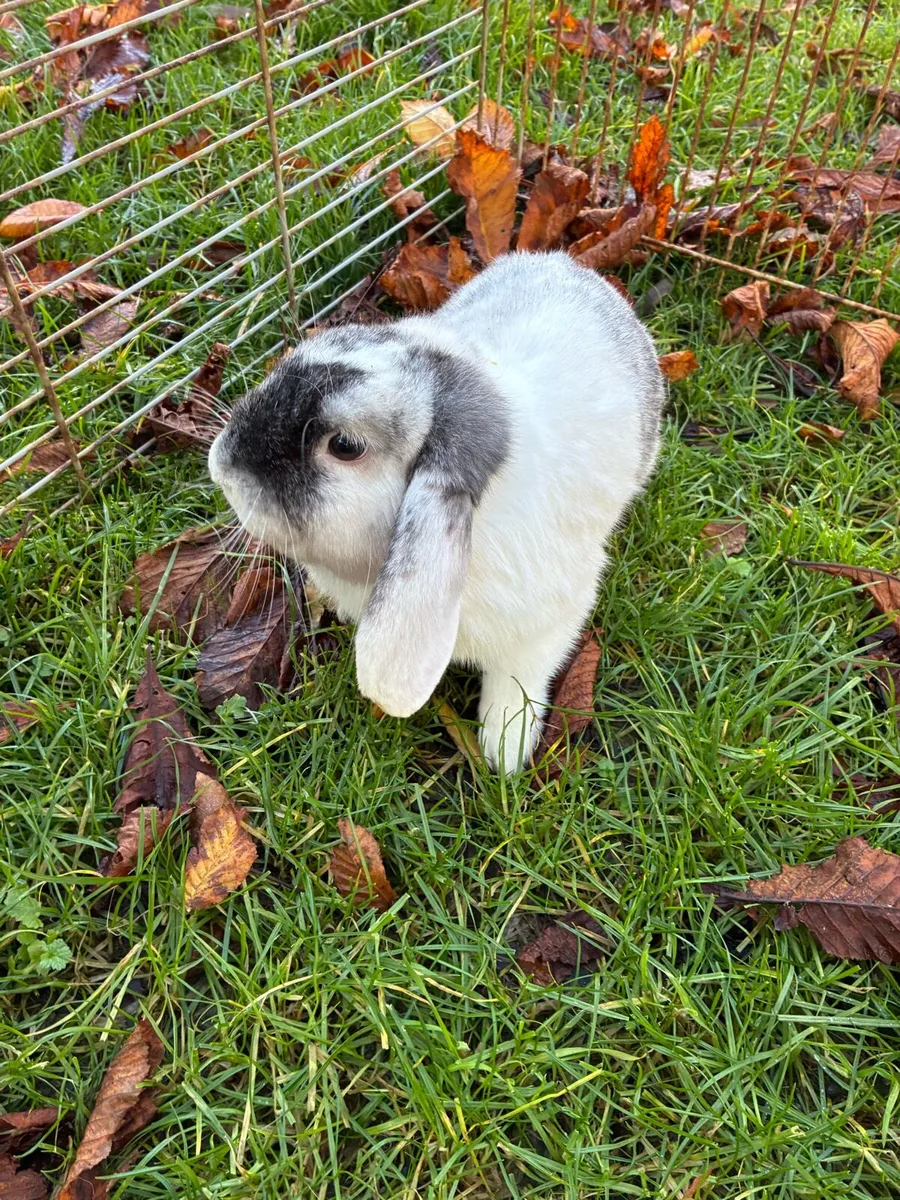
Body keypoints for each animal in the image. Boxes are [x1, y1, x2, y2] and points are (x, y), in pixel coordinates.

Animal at [208, 251, 665, 773]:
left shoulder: (545, 630)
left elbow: (518, 684)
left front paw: (503, 751)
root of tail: (567, 264)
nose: (220, 465)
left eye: (344, 446)